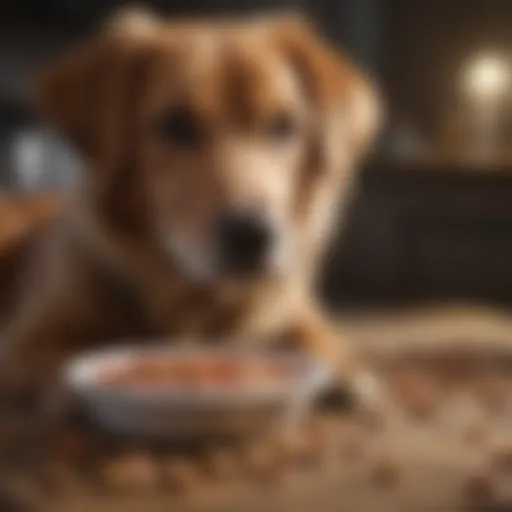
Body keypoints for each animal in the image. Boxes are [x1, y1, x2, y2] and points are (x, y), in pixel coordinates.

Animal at [0, 9, 382, 400]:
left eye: (283, 125)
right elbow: (69, 359)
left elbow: (319, 339)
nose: (251, 234)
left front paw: (346, 373)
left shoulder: (291, 311)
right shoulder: (24, 344)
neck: (194, 300)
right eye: (176, 125)